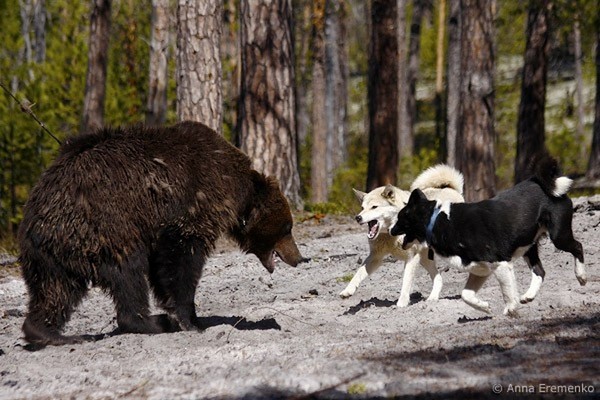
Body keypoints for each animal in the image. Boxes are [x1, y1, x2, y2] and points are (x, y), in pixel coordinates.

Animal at [18, 121, 307, 347]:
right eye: (288, 227)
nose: (300, 258)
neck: (237, 193)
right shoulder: (190, 206)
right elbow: (180, 262)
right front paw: (188, 319)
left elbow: (163, 267)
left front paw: (188, 316)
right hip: (105, 228)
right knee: (127, 273)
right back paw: (152, 322)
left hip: (54, 255)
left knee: (55, 291)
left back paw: (51, 333)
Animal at [339, 165, 465, 307]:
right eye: (362, 208)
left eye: (374, 207)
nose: (358, 217)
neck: (390, 234)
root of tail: (450, 188)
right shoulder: (376, 257)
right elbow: (358, 273)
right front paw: (347, 291)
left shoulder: (411, 258)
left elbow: (406, 282)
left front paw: (401, 304)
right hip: (425, 259)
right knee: (438, 278)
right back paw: (432, 299)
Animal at [390, 154, 586, 316]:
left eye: (400, 217)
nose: (390, 230)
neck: (437, 220)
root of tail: (546, 184)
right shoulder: (481, 269)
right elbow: (466, 295)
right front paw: (484, 307)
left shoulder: (500, 264)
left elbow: (506, 292)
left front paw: (511, 310)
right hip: (529, 246)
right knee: (540, 271)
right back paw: (528, 296)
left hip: (559, 236)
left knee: (578, 246)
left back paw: (581, 276)